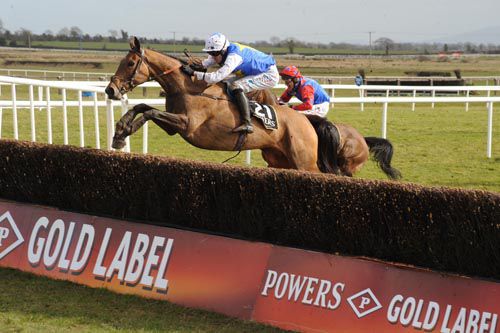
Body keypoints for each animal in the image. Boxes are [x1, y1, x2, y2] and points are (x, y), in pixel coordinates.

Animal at [105, 37, 402, 179]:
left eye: (130, 63)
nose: (110, 90)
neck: (188, 86)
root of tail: (306, 123)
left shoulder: (186, 124)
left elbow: (150, 111)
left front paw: (122, 132)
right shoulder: (173, 124)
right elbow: (144, 106)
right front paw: (120, 131)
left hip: (306, 161)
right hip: (279, 160)